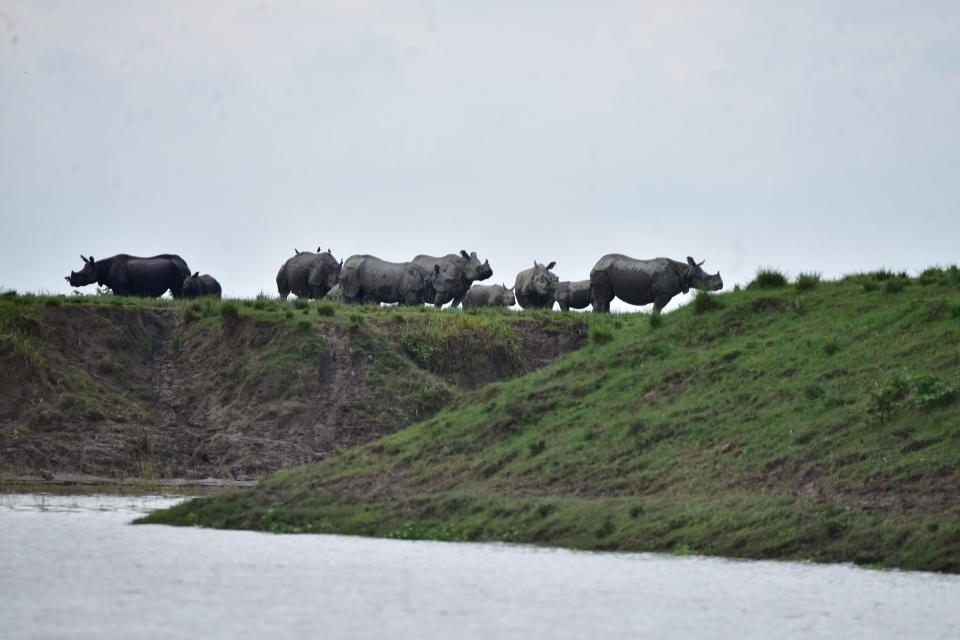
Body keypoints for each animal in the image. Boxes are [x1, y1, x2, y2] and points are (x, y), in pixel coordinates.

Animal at [588, 256, 724, 314]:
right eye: (704, 278)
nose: (720, 284)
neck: (685, 271)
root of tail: (596, 263)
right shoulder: (664, 292)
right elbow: (657, 308)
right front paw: (655, 318)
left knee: (607, 299)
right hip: (601, 272)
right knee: (602, 299)